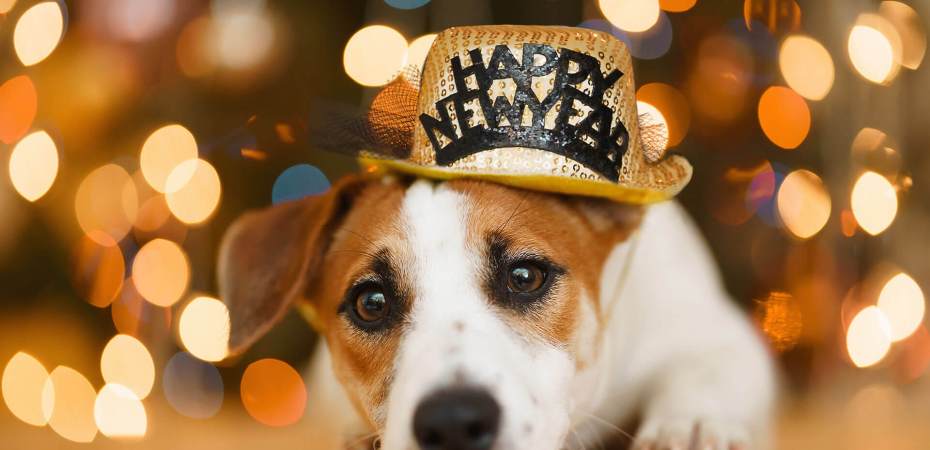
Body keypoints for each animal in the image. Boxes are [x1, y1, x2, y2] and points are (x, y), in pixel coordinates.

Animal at [218, 173, 775, 450]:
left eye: (525, 276)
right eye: (371, 303)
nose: (454, 423)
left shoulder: (718, 333)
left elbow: (703, 370)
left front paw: (691, 426)